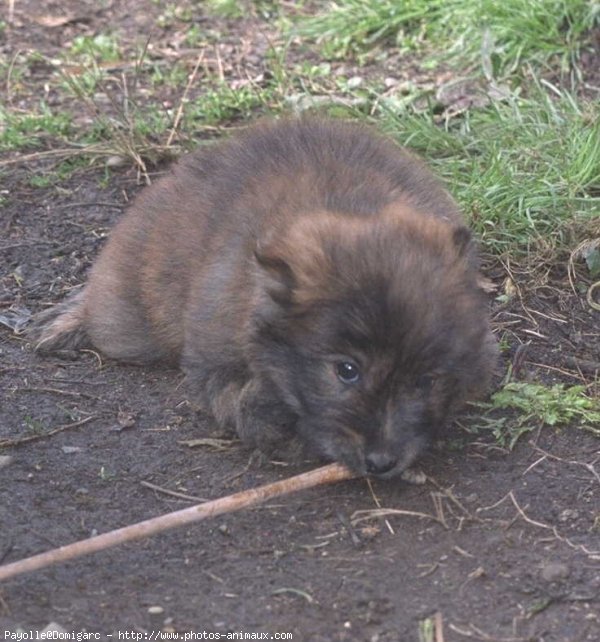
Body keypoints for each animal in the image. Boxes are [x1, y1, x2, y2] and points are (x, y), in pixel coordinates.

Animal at [34, 119, 502, 476]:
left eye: (426, 381)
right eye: (347, 371)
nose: (382, 463)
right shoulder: (214, 365)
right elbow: (243, 401)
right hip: (127, 323)